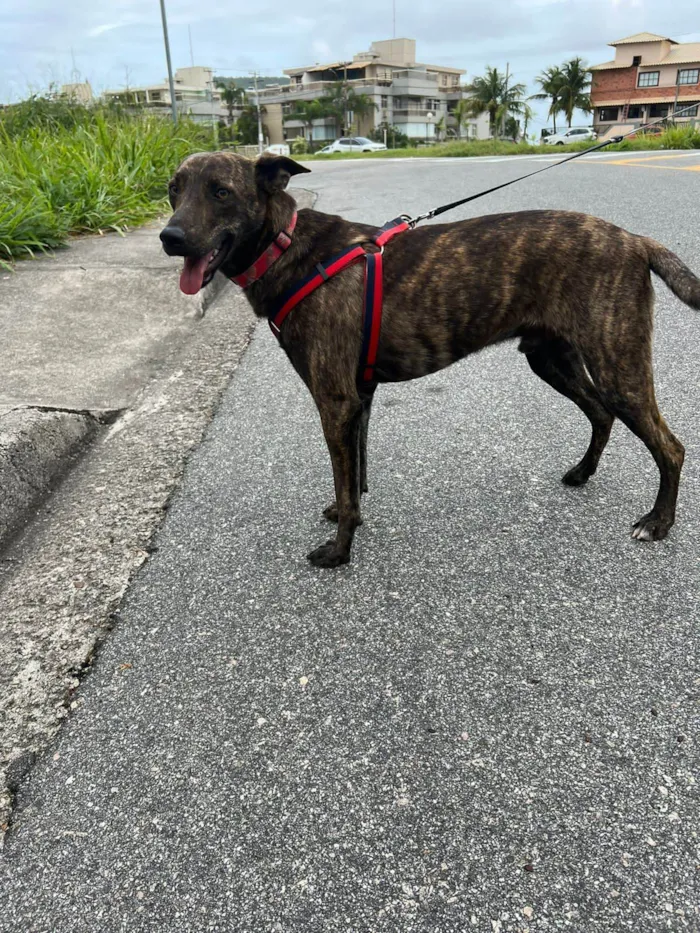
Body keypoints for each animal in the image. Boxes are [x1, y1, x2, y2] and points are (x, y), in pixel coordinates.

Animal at [160, 151, 700, 568]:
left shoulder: (335, 402)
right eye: (173, 190)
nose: (170, 238)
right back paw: (583, 473)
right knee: (601, 413)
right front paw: (345, 514)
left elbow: (346, 481)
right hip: (552, 360)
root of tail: (634, 240)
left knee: (670, 447)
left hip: (617, 367)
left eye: (221, 192)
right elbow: (353, 476)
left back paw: (658, 522)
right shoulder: (358, 399)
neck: (286, 246)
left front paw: (339, 552)